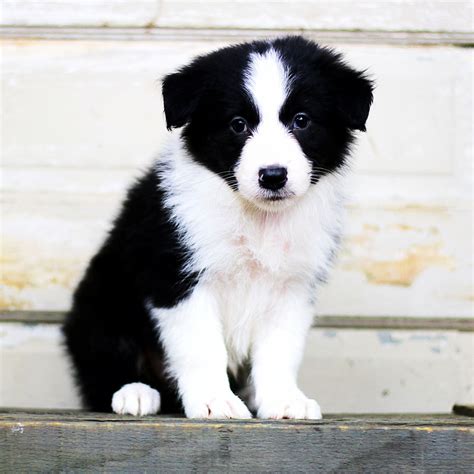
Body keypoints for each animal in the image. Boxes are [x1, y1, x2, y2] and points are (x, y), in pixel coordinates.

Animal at [64, 38, 374, 422]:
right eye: (237, 124)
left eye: (301, 121)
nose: (273, 176)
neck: (259, 218)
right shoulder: (177, 279)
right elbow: (202, 347)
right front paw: (215, 401)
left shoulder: (292, 286)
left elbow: (280, 350)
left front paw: (284, 399)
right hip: (100, 301)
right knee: (102, 360)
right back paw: (133, 391)